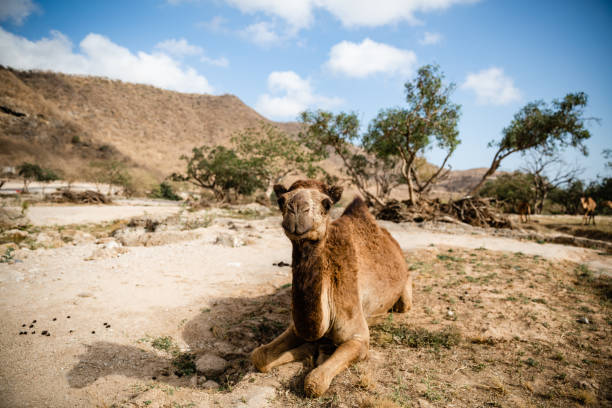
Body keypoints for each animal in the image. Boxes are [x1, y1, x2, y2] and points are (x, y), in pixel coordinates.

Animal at [249, 180, 412, 396]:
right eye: (281, 200)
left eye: (326, 203)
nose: (297, 209)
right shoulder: (296, 327)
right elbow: (259, 356)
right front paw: (308, 350)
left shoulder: (359, 338)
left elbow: (314, 383)